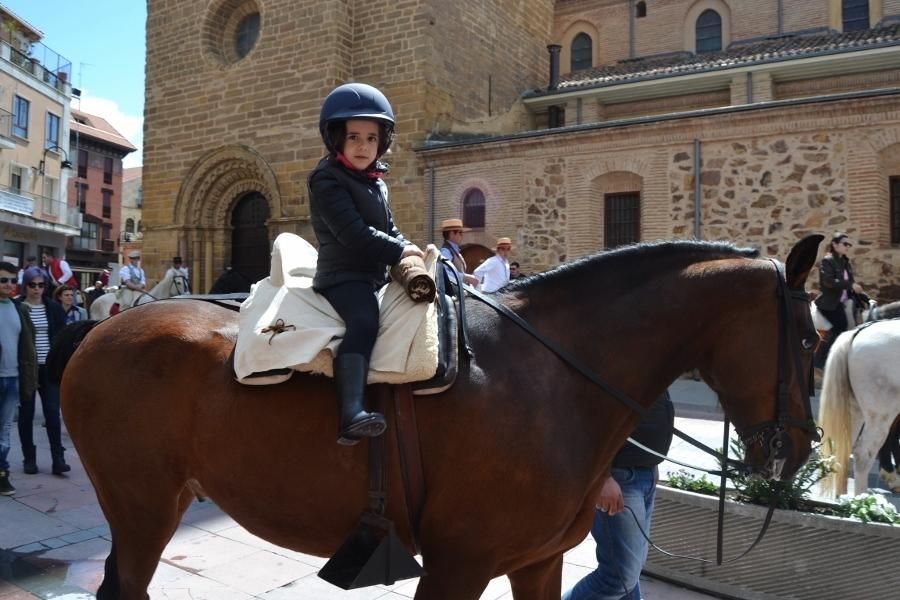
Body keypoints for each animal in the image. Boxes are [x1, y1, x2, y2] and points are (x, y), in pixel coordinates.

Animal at [56, 234, 824, 600]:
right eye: (813, 339)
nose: (799, 449)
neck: (551, 375)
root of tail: (101, 327)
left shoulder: (537, 563)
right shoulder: (460, 565)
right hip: (141, 507)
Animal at [816, 318, 900, 496]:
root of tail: (858, 332)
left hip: (854, 412)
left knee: (842, 448)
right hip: (880, 415)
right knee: (862, 455)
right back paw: (861, 499)